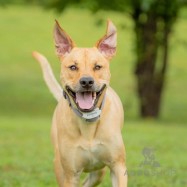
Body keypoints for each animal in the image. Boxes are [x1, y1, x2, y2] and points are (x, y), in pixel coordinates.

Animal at [32, 20, 128, 187]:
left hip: (99, 172)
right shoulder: (70, 174)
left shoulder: (118, 166)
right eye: (73, 67)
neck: (88, 122)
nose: (87, 81)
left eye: (97, 66)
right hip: (60, 165)